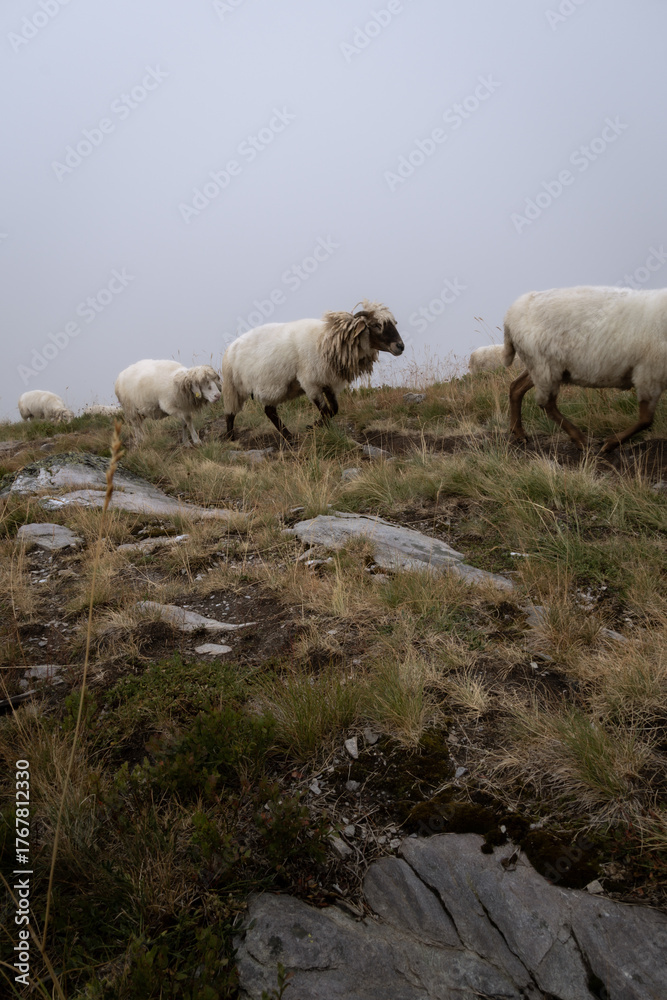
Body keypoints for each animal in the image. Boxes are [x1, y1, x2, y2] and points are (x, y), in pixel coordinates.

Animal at [221, 301, 404, 441]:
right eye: (376, 325)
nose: (400, 346)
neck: (328, 341)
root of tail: (231, 347)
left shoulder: (328, 382)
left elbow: (334, 409)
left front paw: (315, 426)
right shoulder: (311, 383)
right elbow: (325, 410)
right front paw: (319, 427)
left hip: (270, 388)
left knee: (269, 411)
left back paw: (288, 436)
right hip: (234, 387)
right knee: (230, 414)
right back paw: (230, 437)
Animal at [503, 284, 667, 451]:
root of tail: (511, 315)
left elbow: (646, 419)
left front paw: (611, 443)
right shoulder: (650, 373)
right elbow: (646, 420)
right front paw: (610, 444)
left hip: (542, 367)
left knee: (516, 387)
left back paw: (519, 433)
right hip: (543, 365)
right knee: (546, 403)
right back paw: (580, 439)